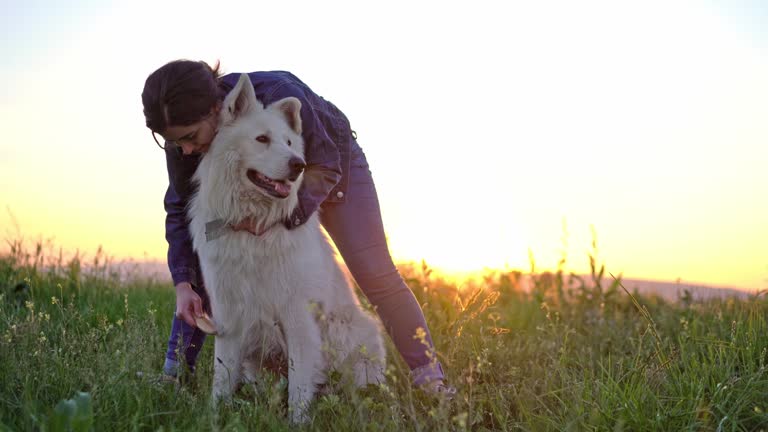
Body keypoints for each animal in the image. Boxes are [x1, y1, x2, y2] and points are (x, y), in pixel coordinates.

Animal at [189, 74, 388, 422]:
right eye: (262, 139)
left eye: (291, 143)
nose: (299, 165)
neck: (253, 225)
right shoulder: (229, 318)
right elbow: (221, 379)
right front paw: (213, 418)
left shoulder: (298, 318)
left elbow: (299, 385)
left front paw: (297, 422)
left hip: (348, 332)